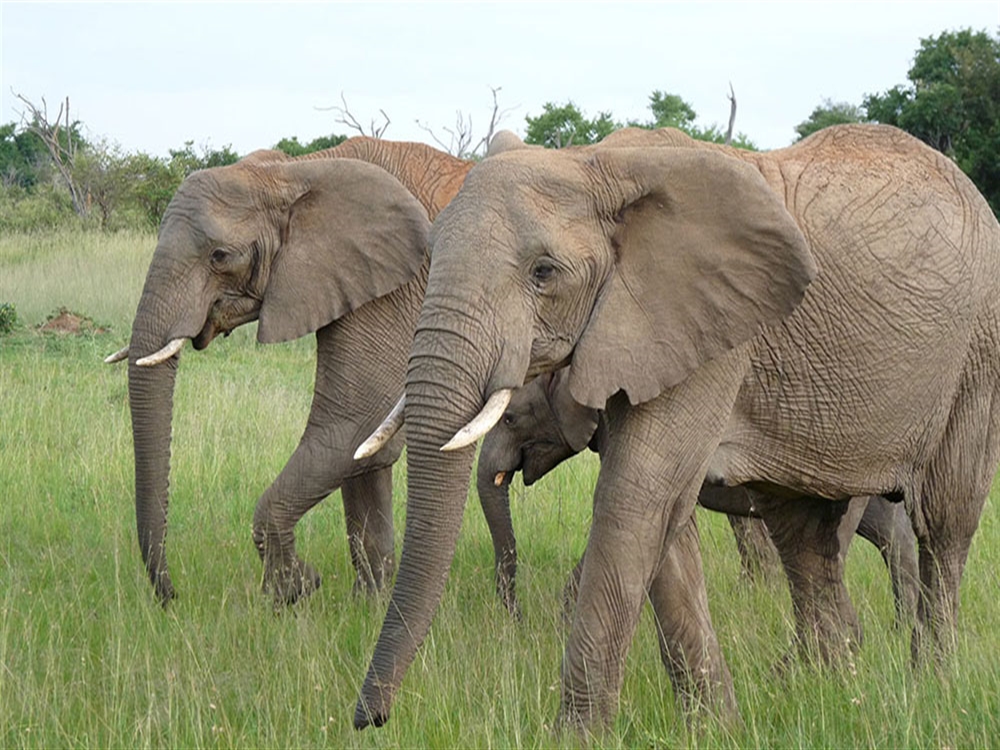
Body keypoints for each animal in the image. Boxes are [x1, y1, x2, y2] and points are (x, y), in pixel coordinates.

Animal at [109, 137, 473, 605]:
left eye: (219, 256)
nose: (173, 596)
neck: (297, 172)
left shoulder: (399, 285)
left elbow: (354, 425)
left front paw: (293, 590)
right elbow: (365, 450)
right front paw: (364, 605)